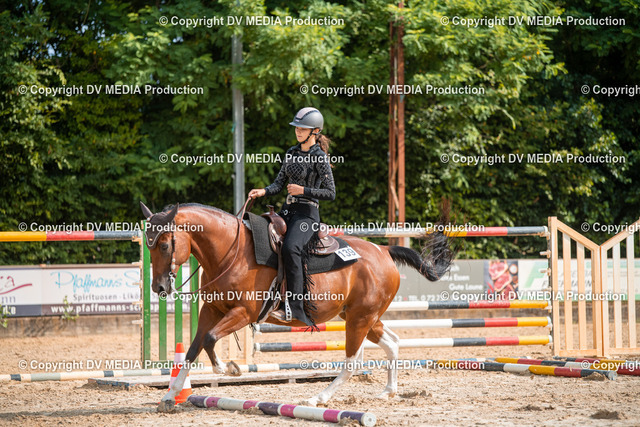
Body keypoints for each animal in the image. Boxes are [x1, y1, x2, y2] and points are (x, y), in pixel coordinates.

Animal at [140, 201, 454, 411]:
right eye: (149, 246)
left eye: (165, 245)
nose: (159, 288)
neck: (231, 252)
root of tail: (384, 250)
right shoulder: (212, 310)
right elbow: (193, 348)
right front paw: (169, 396)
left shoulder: (243, 313)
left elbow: (209, 338)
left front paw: (228, 368)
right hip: (363, 317)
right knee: (392, 342)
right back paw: (388, 391)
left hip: (360, 319)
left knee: (353, 361)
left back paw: (319, 398)